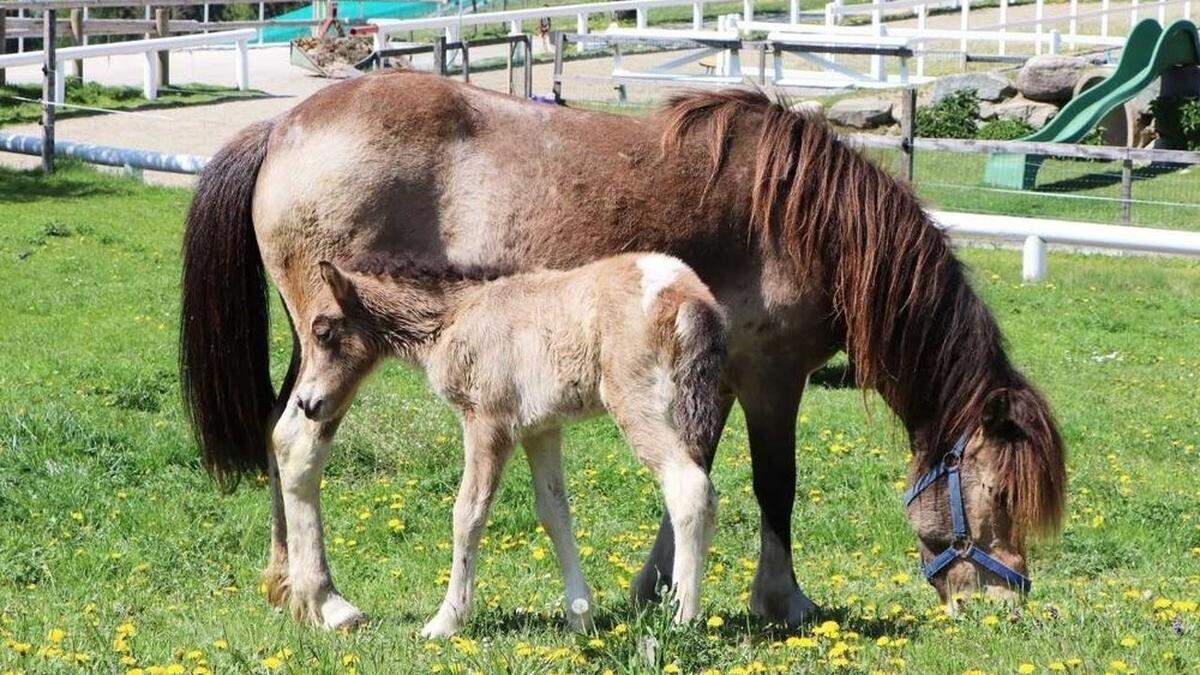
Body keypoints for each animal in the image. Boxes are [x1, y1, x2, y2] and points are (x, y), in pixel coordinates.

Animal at [295, 253, 724, 634]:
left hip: (638, 404)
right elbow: (554, 513)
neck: (456, 318)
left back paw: (682, 619)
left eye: (323, 332)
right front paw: (580, 616)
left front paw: (446, 621)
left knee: (687, 487)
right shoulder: (541, 428)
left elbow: (467, 513)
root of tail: (686, 294)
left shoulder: (486, 421)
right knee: (707, 493)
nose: (305, 403)